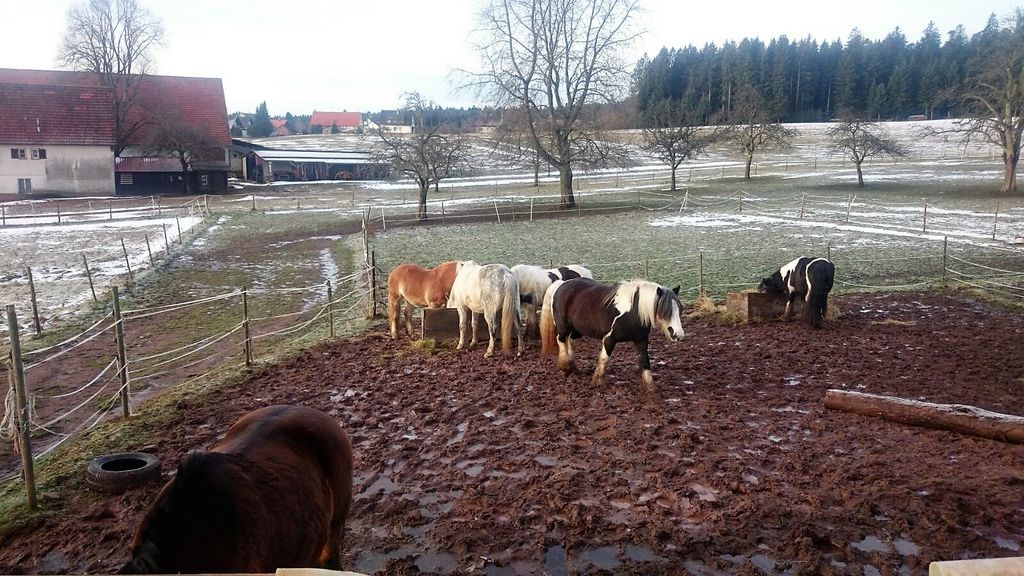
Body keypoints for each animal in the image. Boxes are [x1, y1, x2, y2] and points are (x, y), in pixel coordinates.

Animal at [540, 277, 684, 392]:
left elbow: (645, 362)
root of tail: (560, 285)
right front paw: (597, 381)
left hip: (576, 330)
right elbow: (604, 359)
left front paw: (651, 387)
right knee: (561, 340)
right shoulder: (609, 339)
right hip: (563, 327)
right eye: (664, 311)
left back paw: (573, 366)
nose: (679, 334)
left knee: (569, 341)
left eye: (679, 309)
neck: (633, 312)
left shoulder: (641, 340)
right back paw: (566, 366)